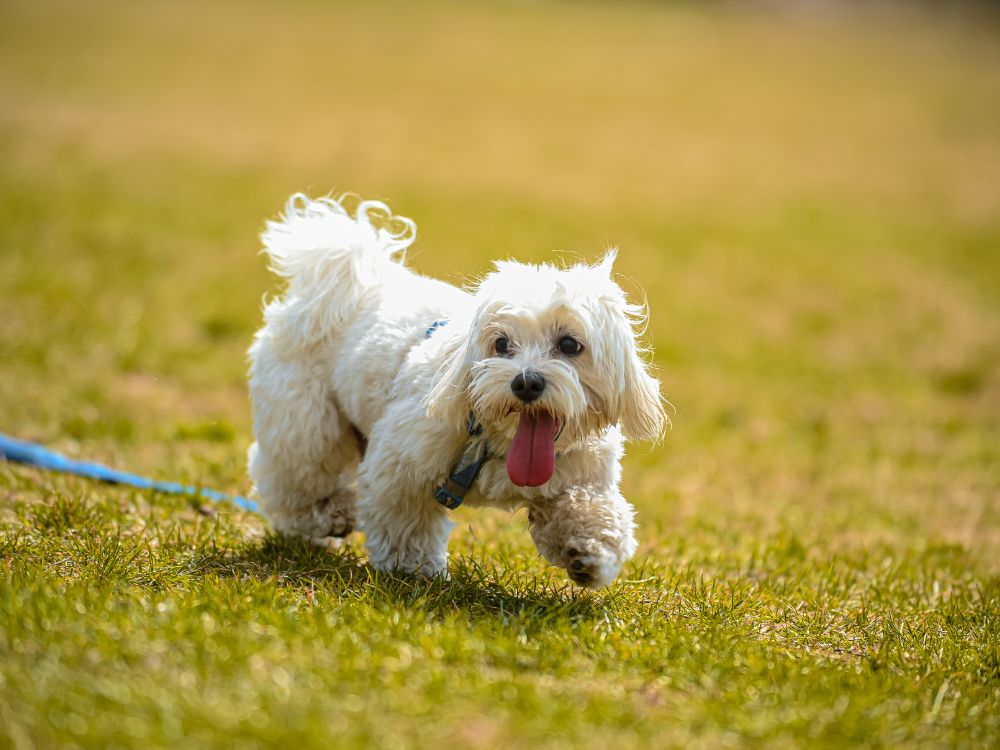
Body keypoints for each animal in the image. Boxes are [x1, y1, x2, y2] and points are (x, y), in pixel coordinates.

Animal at [245, 192, 664, 588]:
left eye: (570, 344)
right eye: (500, 344)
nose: (526, 382)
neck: (499, 441)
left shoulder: (580, 475)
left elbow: (592, 509)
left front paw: (589, 551)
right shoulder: (401, 462)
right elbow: (404, 519)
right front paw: (410, 567)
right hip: (304, 418)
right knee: (295, 474)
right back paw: (329, 513)